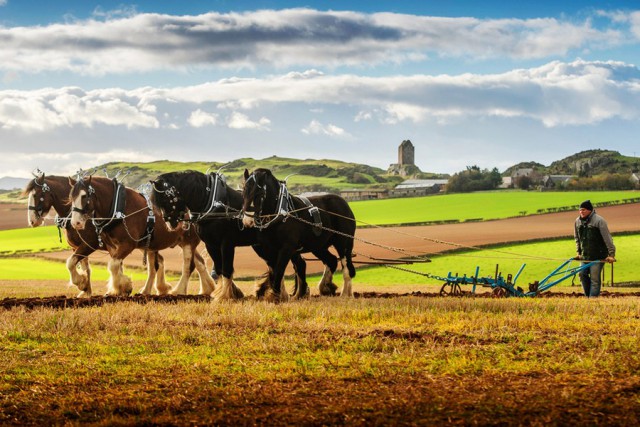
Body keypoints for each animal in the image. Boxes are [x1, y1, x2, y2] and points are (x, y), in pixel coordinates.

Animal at [24, 174, 170, 298]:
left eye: (36, 195)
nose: (32, 221)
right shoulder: (78, 247)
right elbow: (84, 267)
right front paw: (86, 290)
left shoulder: (90, 244)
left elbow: (71, 262)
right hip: (145, 243)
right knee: (158, 262)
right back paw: (156, 289)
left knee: (155, 264)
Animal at [69, 176, 215, 296]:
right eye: (71, 197)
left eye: (84, 196)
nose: (75, 223)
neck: (119, 207)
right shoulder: (112, 246)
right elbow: (73, 261)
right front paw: (84, 283)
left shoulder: (127, 244)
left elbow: (113, 265)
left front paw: (123, 286)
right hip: (179, 242)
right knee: (198, 263)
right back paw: (206, 289)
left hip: (188, 241)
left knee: (188, 266)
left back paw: (178, 291)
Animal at [148, 171, 312, 300]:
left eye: (166, 198)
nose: (170, 223)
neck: (213, 203)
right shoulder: (211, 244)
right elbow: (220, 269)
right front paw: (230, 292)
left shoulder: (226, 243)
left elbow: (226, 268)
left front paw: (225, 295)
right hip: (264, 246)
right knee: (284, 264)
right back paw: (287, 293)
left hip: (285, 244)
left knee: (294, 264)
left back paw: (296, 294)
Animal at [242, 167, 358, 300]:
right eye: (244, 191)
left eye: (260, 193)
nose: (248, 221)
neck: (280, 211)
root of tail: (343, 202)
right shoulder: (268, 251)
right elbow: (274, 272)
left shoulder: (287, 248)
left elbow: (279, 271)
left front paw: (276, 296)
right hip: (318, 246)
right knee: (331, 260)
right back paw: (325, 287)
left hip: (344, 242)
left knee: (346, 266)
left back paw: (345, 294)